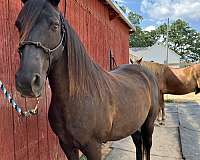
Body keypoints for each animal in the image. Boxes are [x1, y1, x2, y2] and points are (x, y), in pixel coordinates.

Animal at [14, 0, 159, 159]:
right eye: (18, 25)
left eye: (55, 25)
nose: (26, 81)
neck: (76, 97)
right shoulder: (66, 145)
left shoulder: (93, 147)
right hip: (133, 124)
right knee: (138, 144)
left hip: (149, 124)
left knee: (147, 147)